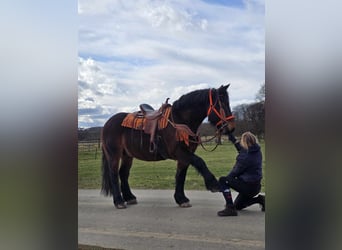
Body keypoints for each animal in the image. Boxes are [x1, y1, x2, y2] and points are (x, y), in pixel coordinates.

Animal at [101, 85, 235, 208]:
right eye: (222, 104)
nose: (231, 127)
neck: (179, 121)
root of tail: (107, 124)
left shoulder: (185, 156)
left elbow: (181, 176)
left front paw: (181, 199)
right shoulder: (179, 152)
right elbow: (200, 162)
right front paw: (214, 184)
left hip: (127, 155)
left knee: (123, 174)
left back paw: (129, 197)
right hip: (114, 154)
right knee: (114, 174)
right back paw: (119, 201)